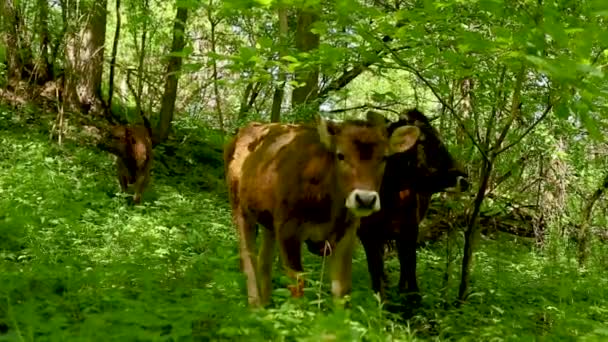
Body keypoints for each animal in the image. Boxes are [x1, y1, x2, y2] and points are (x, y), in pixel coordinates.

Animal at [224, 113, 422, 308]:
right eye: (340, 155)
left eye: (384, 158)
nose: (365, 199)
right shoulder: (288, 230)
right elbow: (298, 286)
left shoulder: (347, 234)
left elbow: (342, 290)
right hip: (239, 208)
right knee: (247, 259)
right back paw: (255, 305)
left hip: (267, 222)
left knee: (264, 261)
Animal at [356, 108, 470, 304]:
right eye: (427, 141)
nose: (464, 177)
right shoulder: (366, 234)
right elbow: (375, 268)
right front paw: (381, 299)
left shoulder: (410, 229)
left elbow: (410, 263)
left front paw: (412, 298)